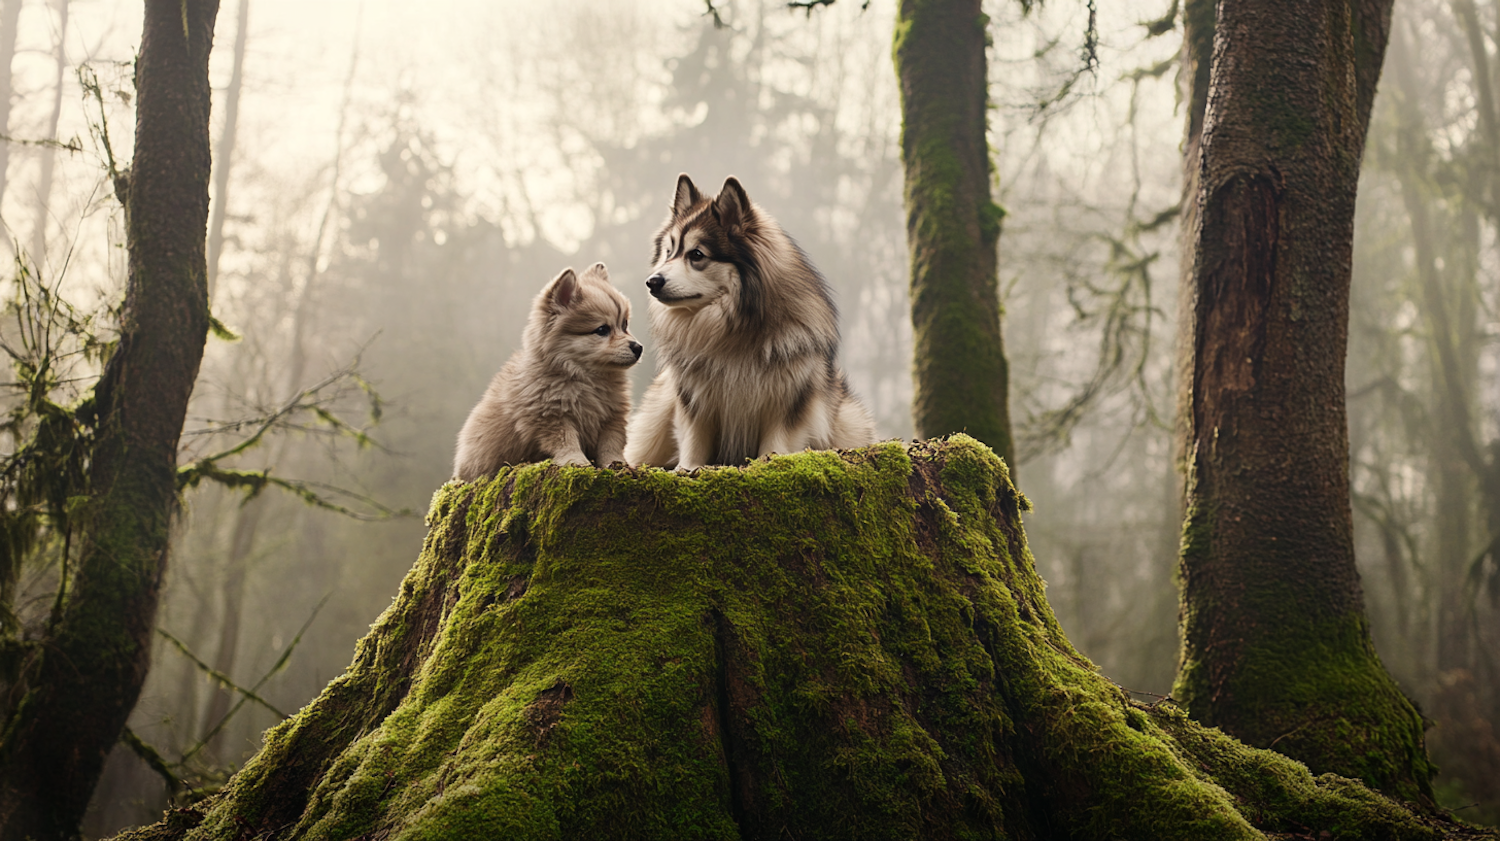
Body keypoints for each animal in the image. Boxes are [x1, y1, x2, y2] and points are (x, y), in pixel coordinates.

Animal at [450, 262, 639, 479]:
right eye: (602, 330)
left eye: (624, 325)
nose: (638, 347)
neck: (586, 378)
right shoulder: (550, 416)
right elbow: (567, 441)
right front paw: (576, 462)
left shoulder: (612, 416)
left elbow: (611, 444)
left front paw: (618, 465)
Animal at [624, 173, 876, 467]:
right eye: (668, 252)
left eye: (696, 255)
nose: (652, 282)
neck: (734, 329)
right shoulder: (696, 402)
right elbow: (694, 444)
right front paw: (688, 469)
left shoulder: (786, 403)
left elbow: (775, 444)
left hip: (849, 419)